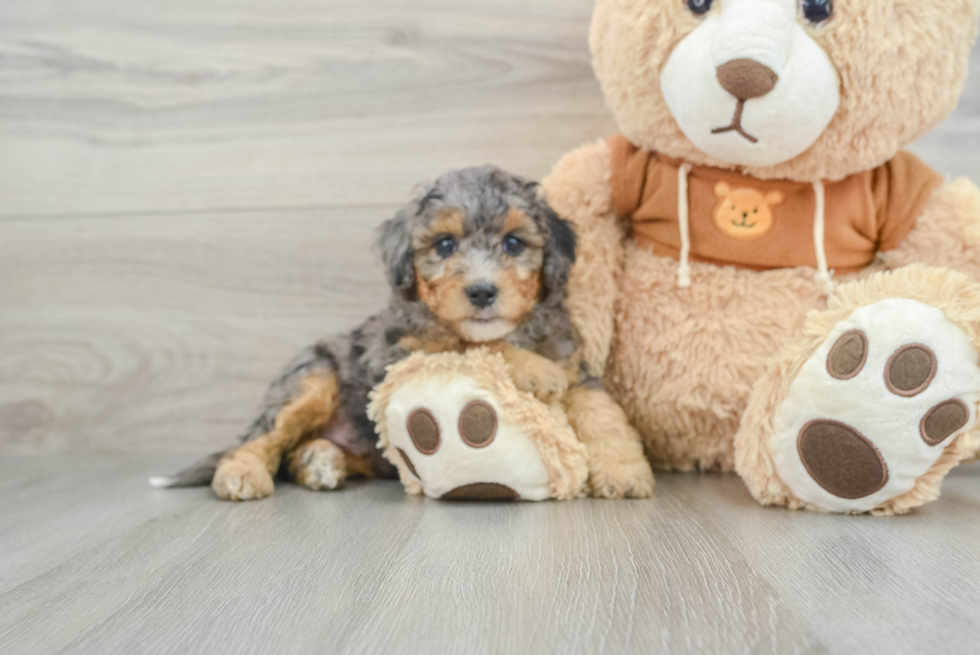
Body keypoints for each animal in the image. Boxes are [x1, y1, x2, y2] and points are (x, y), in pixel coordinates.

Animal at [153, 167, 656, 500]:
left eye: (514, 243)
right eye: (445, 245)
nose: (482, 292)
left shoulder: (574, 364)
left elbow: (602, 412)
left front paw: (624, 471)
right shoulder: (399, 357)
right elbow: (466, 345)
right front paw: (531, 370)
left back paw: (320, 462)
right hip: (310, 379)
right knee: (263, 436)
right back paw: (241, 474)